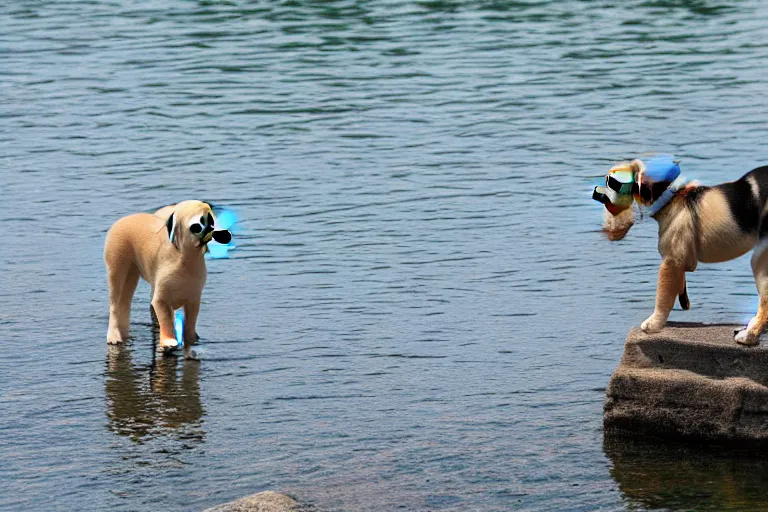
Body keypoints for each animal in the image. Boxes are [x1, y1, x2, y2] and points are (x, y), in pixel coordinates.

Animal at [104, 200, 231, 356]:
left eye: (212, 220)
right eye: (197, 225)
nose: (215, 231)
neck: (185, 258)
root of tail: (124, 219)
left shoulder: (194, 299)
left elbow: (191, 320)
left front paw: (190, 339)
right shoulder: (161, 299)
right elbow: (164, 316)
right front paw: (169, 341)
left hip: (132, 273)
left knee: (126, 300)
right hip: (118, 264)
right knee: (116, 302)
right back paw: (114, 337)